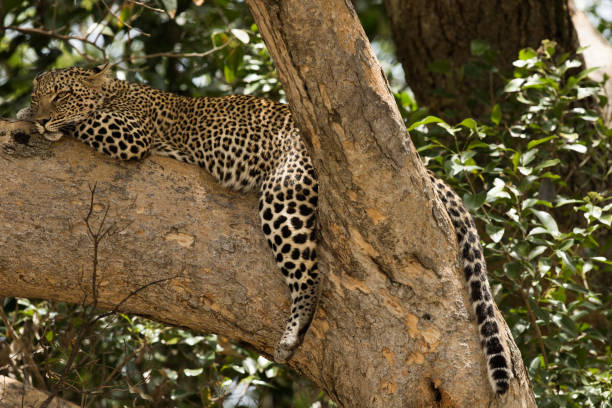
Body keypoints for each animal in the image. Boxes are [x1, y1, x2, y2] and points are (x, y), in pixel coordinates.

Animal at [17, 64, 512, 396]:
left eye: (63, 96)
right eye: (41, 93)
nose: (40, 117)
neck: (117, 91)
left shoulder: (129, 134)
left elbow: (87, 121)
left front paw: (33, 119)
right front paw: (25, 112)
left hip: (283, 192)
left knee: (310, 275)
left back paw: (292, 333)